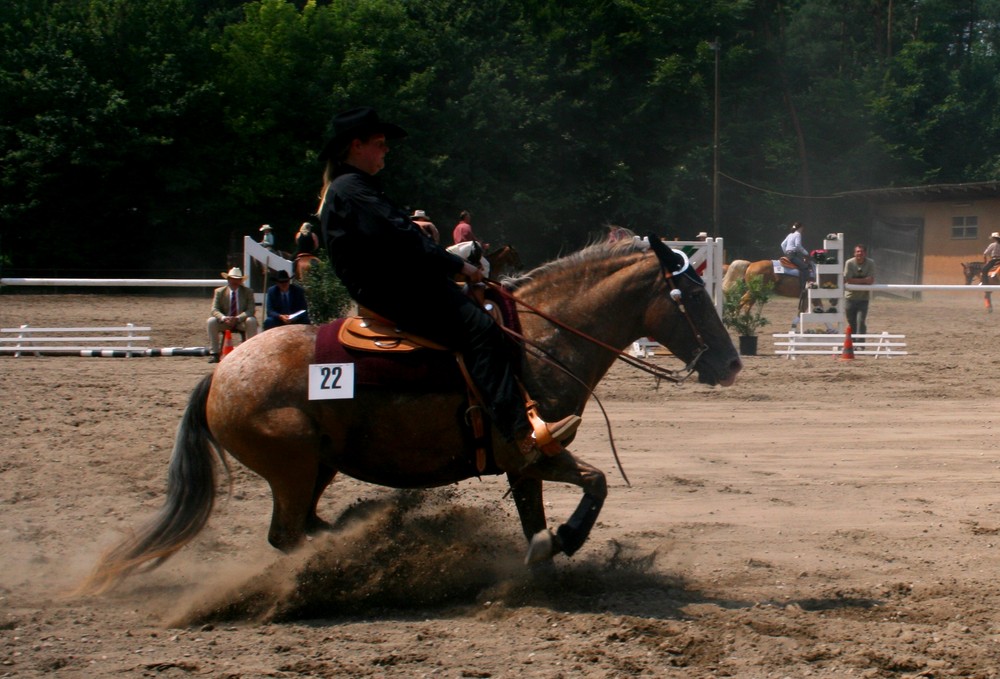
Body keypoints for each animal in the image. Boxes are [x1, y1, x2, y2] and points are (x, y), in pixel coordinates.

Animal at [82, 234, 744, 596]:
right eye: (689, 294)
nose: (732, 362)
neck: (533, 342)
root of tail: (220, 375)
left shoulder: (524, 466)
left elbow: (540, 517)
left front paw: (545, 556)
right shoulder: (533, 451)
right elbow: (598, 483)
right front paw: (568, 539)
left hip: (317, 466)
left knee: (304, 528)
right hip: (292, 469)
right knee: (288, 535)